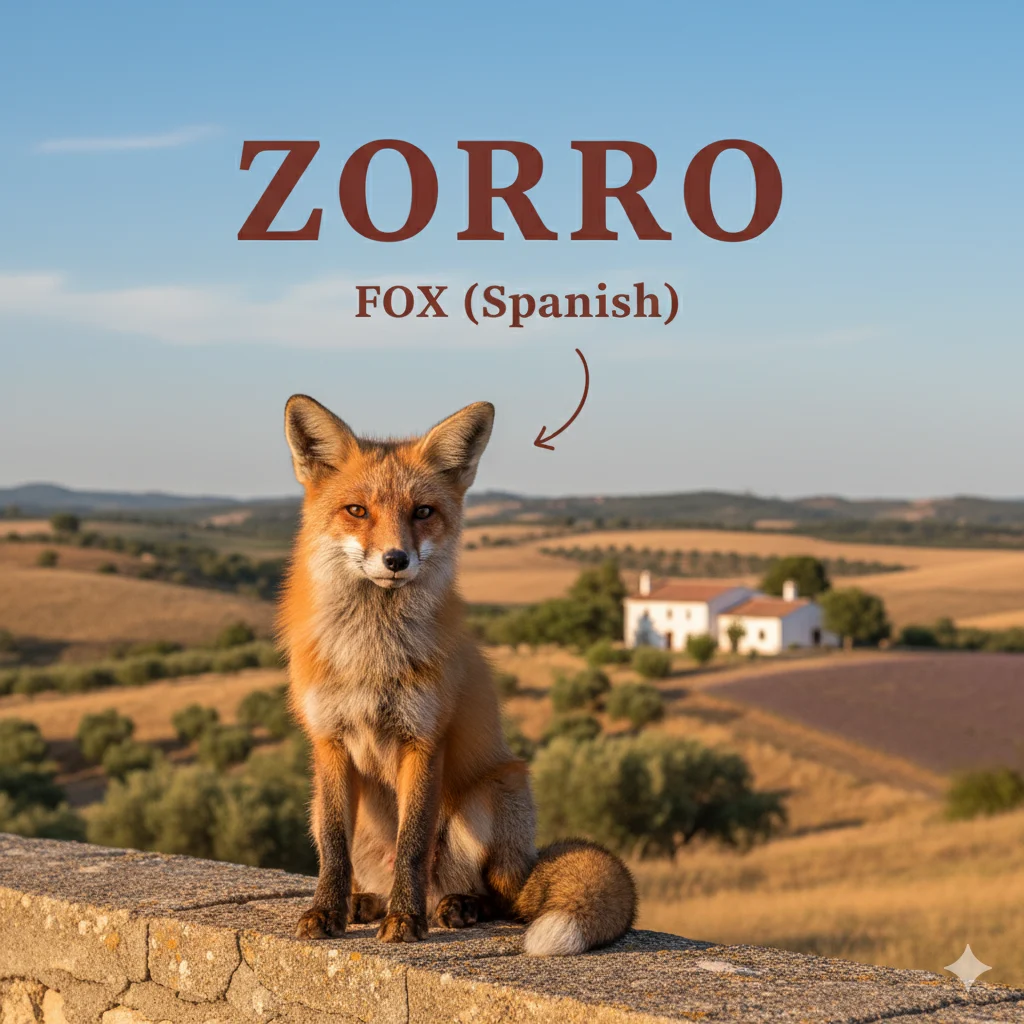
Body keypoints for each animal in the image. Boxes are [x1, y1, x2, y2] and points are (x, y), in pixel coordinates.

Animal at [277, 394, 636, 955]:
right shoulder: (329, 741)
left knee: (503, 900)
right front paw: (326, 912)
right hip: (320, 805)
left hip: (491, 796)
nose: (396, 559)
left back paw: (453, 907)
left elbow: (413, 843)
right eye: (357, 510)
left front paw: (404, 923)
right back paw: (367, 903)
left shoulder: (424, 739)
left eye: (423, 512)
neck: (372, 657)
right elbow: (334, 850)